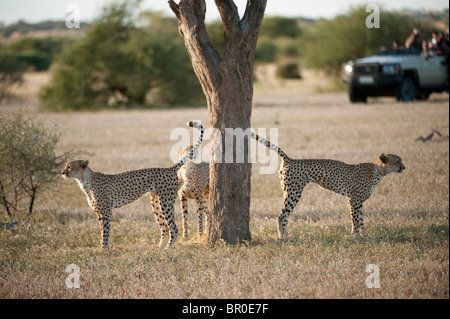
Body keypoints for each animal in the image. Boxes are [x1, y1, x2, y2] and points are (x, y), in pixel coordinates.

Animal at [61, 122, 204, 250]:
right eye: (65, 166)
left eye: (69, 167)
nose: (62, 172)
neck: (84, 180)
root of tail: (168, 168)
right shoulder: (99, 213)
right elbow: (102, 231)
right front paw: (104, 248)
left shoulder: (106, 211)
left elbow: (106, 232)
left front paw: (104, 250)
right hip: (156, 203)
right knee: (164, 228)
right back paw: (160, 248)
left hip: (166, 202)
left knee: (173, 227)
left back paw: (168, 248)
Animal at [251, 132, 406, 240]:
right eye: (397, 161)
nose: (404, 167)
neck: (379, 171)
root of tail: (291, 160)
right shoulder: (354, 200)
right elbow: (355, 219)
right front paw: (355, 235)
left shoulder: (359, 201)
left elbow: (361, 219)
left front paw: (364, 235)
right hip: (294, 193)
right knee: (282, 215)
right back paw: (283, 238)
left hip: (288, 191)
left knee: (284, 215)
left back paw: (286, 236)